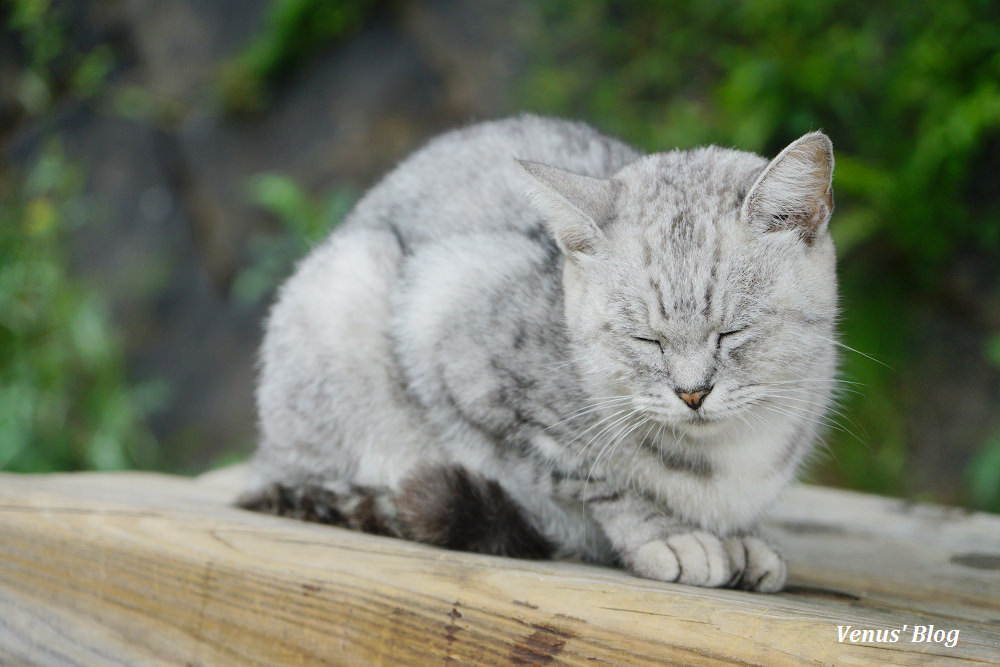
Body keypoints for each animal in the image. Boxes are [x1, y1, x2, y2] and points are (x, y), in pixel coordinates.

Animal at [238, 112, 840, 592]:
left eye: (731, 333)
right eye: (645, 339)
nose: (692, 393)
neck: (725, 457)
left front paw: (743, 538)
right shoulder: (453, 333)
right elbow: (591, 476)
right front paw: (668, 535)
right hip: (346, 291)